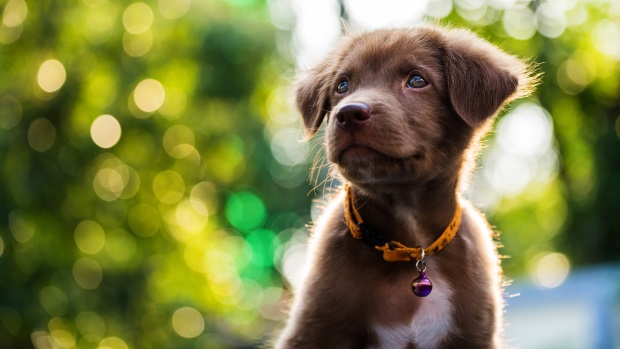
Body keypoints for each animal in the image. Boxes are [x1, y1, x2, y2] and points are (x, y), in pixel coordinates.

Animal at [274, 25, 532, 348]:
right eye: (342, 86)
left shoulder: (475, 333)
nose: (348, 114)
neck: (410, 245)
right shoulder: (313, 330)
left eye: (417, 80)